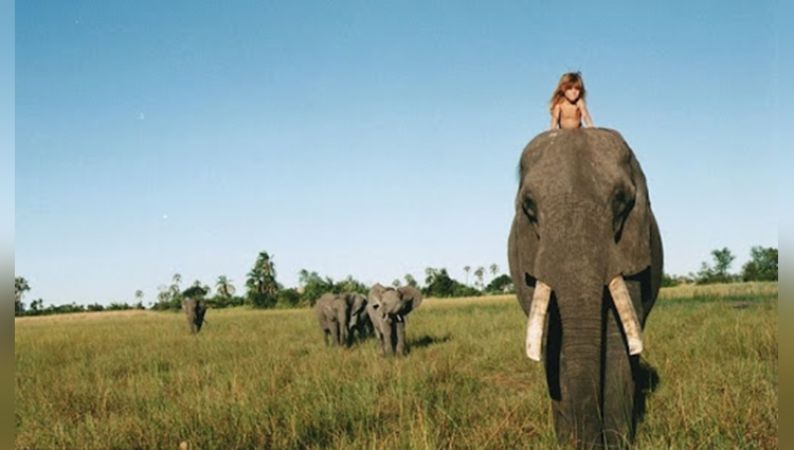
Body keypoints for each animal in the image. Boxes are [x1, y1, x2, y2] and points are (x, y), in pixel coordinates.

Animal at [508, 128, 664, 448]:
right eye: (529, 206)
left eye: (621, 200)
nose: (588, 442)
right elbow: (556, 345)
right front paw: (569, 442)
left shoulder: (631, 246)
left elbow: (617, 342)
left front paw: (617, 444)